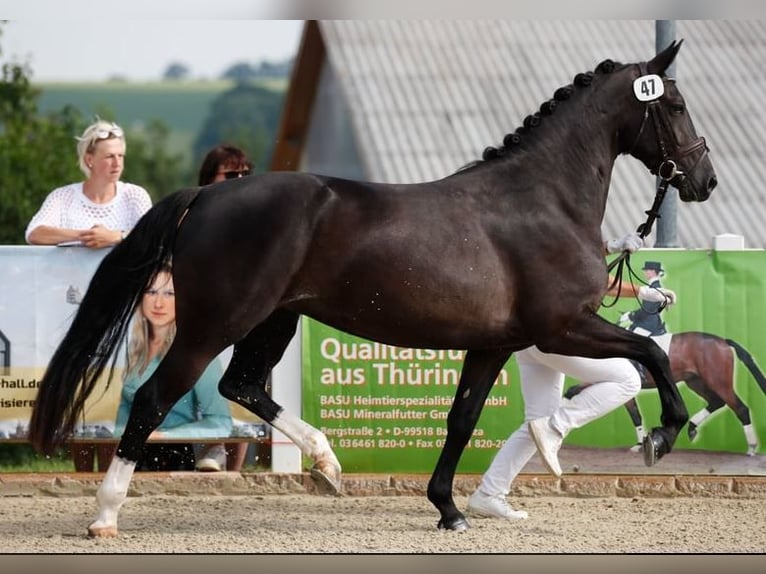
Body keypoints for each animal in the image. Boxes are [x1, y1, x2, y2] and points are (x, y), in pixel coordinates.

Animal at [27, 39, 716, 536]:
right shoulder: (563, 326)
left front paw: (449, 509)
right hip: (214, 326)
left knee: (240, 384)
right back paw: (105, 515)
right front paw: (663, 434)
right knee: (154, 400)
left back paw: (328, 465)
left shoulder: (494, 343)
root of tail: (207, 195)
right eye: (676, 106)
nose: (704, 180)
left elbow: (463, 419)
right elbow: (650, 355)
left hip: (274, 320)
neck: (543, 200)